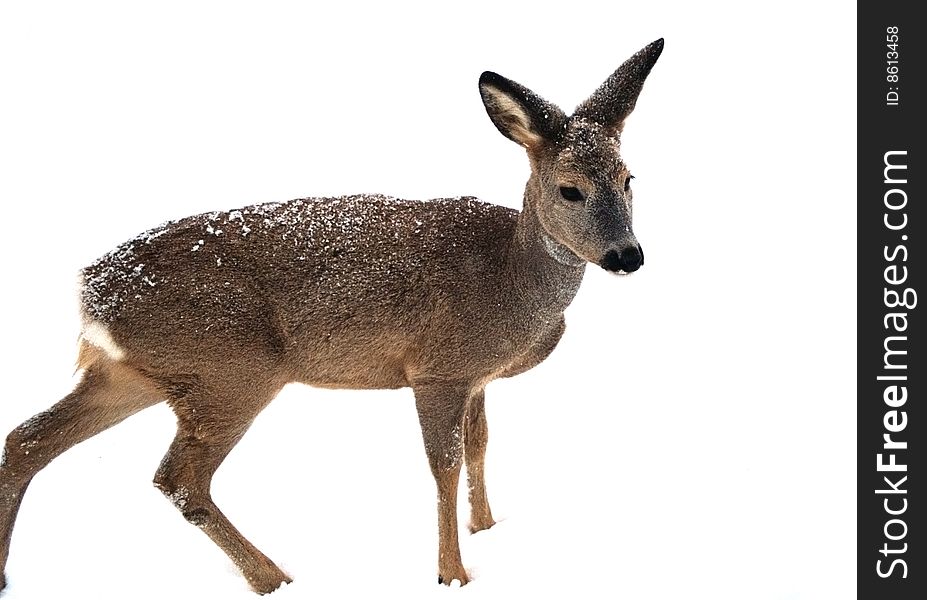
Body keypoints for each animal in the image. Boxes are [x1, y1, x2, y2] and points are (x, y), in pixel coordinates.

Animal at [1, 38, 668, 596]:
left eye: (630, 178)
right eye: (569, 189)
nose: (627, 255)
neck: (511, 276)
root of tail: (91, 293)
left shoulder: (478, 377)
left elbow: (481, 446)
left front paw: (488, 528)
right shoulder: (439, 368)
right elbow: (444, 467)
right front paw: (452, 573)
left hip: (137, 372)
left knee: (28, 438)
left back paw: (8, 570)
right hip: (231, 370)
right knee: (177, 479)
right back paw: (272, 576)